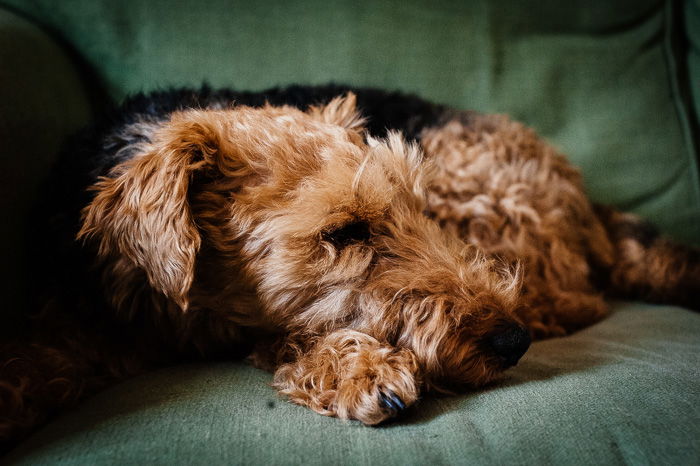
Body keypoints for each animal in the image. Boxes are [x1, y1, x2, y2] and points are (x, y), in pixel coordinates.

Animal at [1, 85, 700, 450]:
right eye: (343, 232)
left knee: (578, 297)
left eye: (418, 207)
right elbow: (33, 358)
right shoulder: (78, 319)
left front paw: (355, 368)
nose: (511, 341)